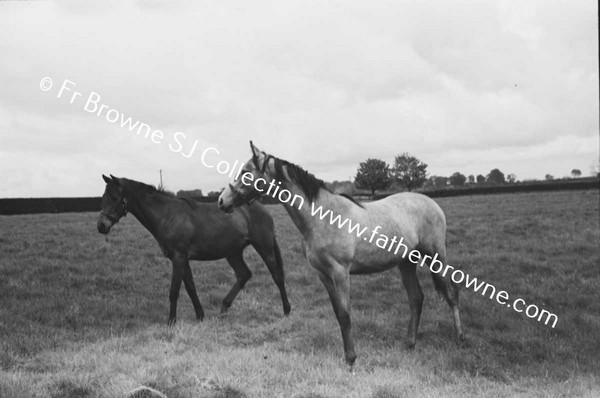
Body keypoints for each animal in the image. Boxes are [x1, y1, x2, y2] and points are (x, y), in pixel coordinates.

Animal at [96, 174, 290, 324]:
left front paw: (171, 321)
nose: (101, 226)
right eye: (103, 198)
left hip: (263, 246)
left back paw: (286, 310)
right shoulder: (183, 259)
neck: (167, 215)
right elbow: (190, 287)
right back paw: (223, 308)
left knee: (277, 276)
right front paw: (200, 316)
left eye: (115, 197)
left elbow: (174, 290)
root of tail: (261, 208)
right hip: (233, 252)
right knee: (244, 274)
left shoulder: (179, 258)